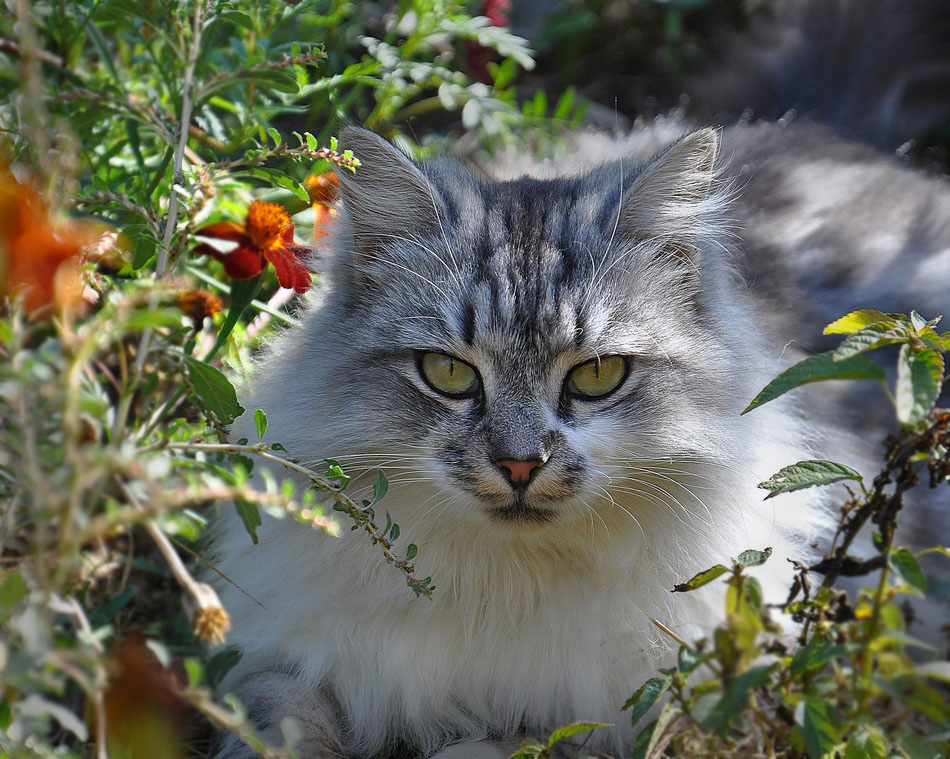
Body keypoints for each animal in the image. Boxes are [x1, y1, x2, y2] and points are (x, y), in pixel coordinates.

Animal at [210, 120, 950, 759]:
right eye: (448, 373)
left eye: (597, 376)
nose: (519, 465)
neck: (506, 588)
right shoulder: (296, 660)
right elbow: (277, 725)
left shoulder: (607, 717)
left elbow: (490, 746)